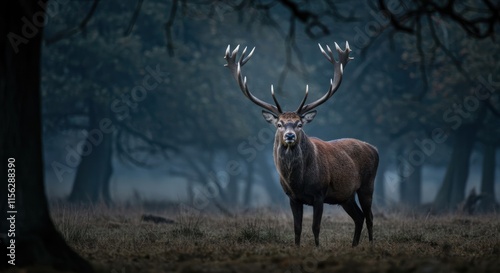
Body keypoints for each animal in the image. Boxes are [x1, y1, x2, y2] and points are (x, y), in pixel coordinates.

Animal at [224, 42, 378, 246]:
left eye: (299, 124)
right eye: (279, 124)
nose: (289, 136)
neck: (298, 181)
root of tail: (374, 148)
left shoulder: (320, 194)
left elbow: (315, 227)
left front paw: (317, 248)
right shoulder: (293, 198)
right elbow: (297, 228)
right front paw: (297, 248)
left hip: (367, 184)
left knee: (369, 216)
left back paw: (371, 244)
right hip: (345, 195)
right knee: (359, 217)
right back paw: (353, 246)